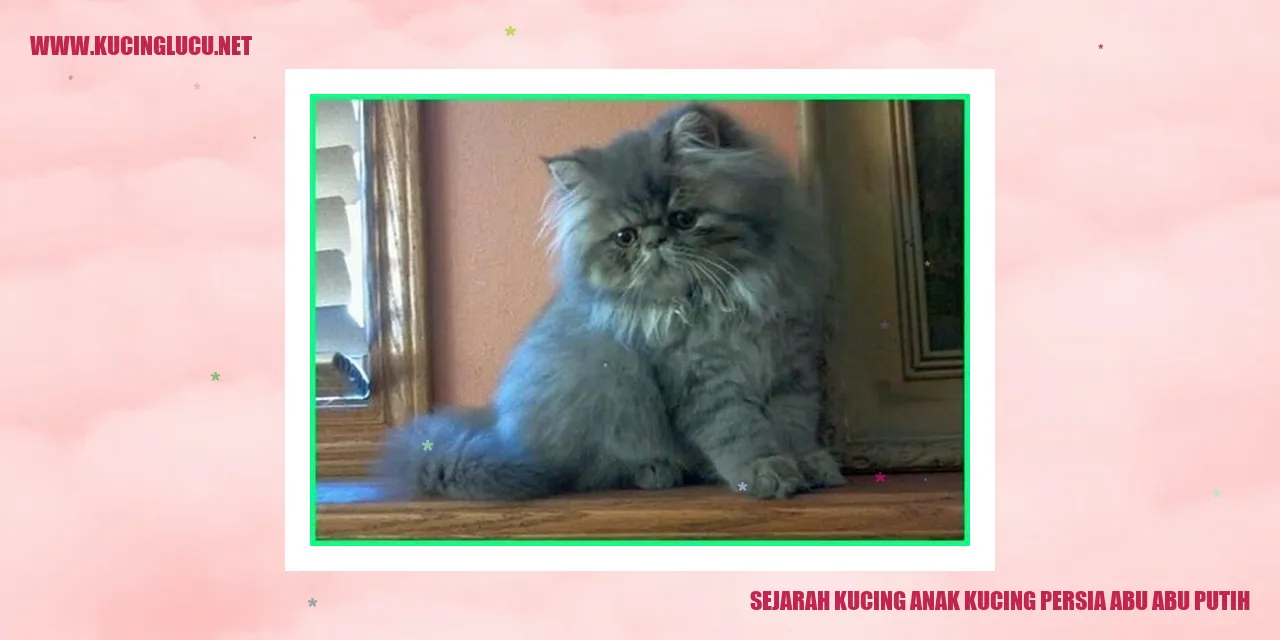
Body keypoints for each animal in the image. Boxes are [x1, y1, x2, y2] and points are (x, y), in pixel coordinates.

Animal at [374, 103, 846, 501]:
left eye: (683, 219)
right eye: (625, 237)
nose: (654, 241)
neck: (722, 300)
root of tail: (501, 431)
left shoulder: (791, 365)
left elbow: (795, 425)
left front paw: (811, 466)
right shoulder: (700, 379)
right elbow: (738, 432)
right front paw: (765, 472)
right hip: (606, 385)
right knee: (582, 472)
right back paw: (656, 472)